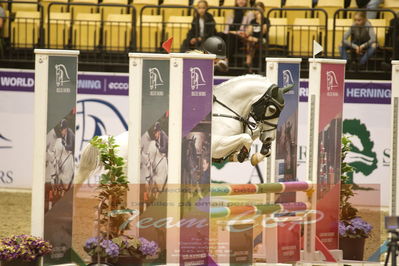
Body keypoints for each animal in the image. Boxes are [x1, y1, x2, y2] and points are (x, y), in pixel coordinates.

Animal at [75, 74, 292, 183]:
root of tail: (113, 143)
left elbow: (249, 136)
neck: (226, 110)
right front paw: (247, 154)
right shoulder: (216, 145)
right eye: (272, 109)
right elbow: (246, 139)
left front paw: (256, 154)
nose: (269, 139)